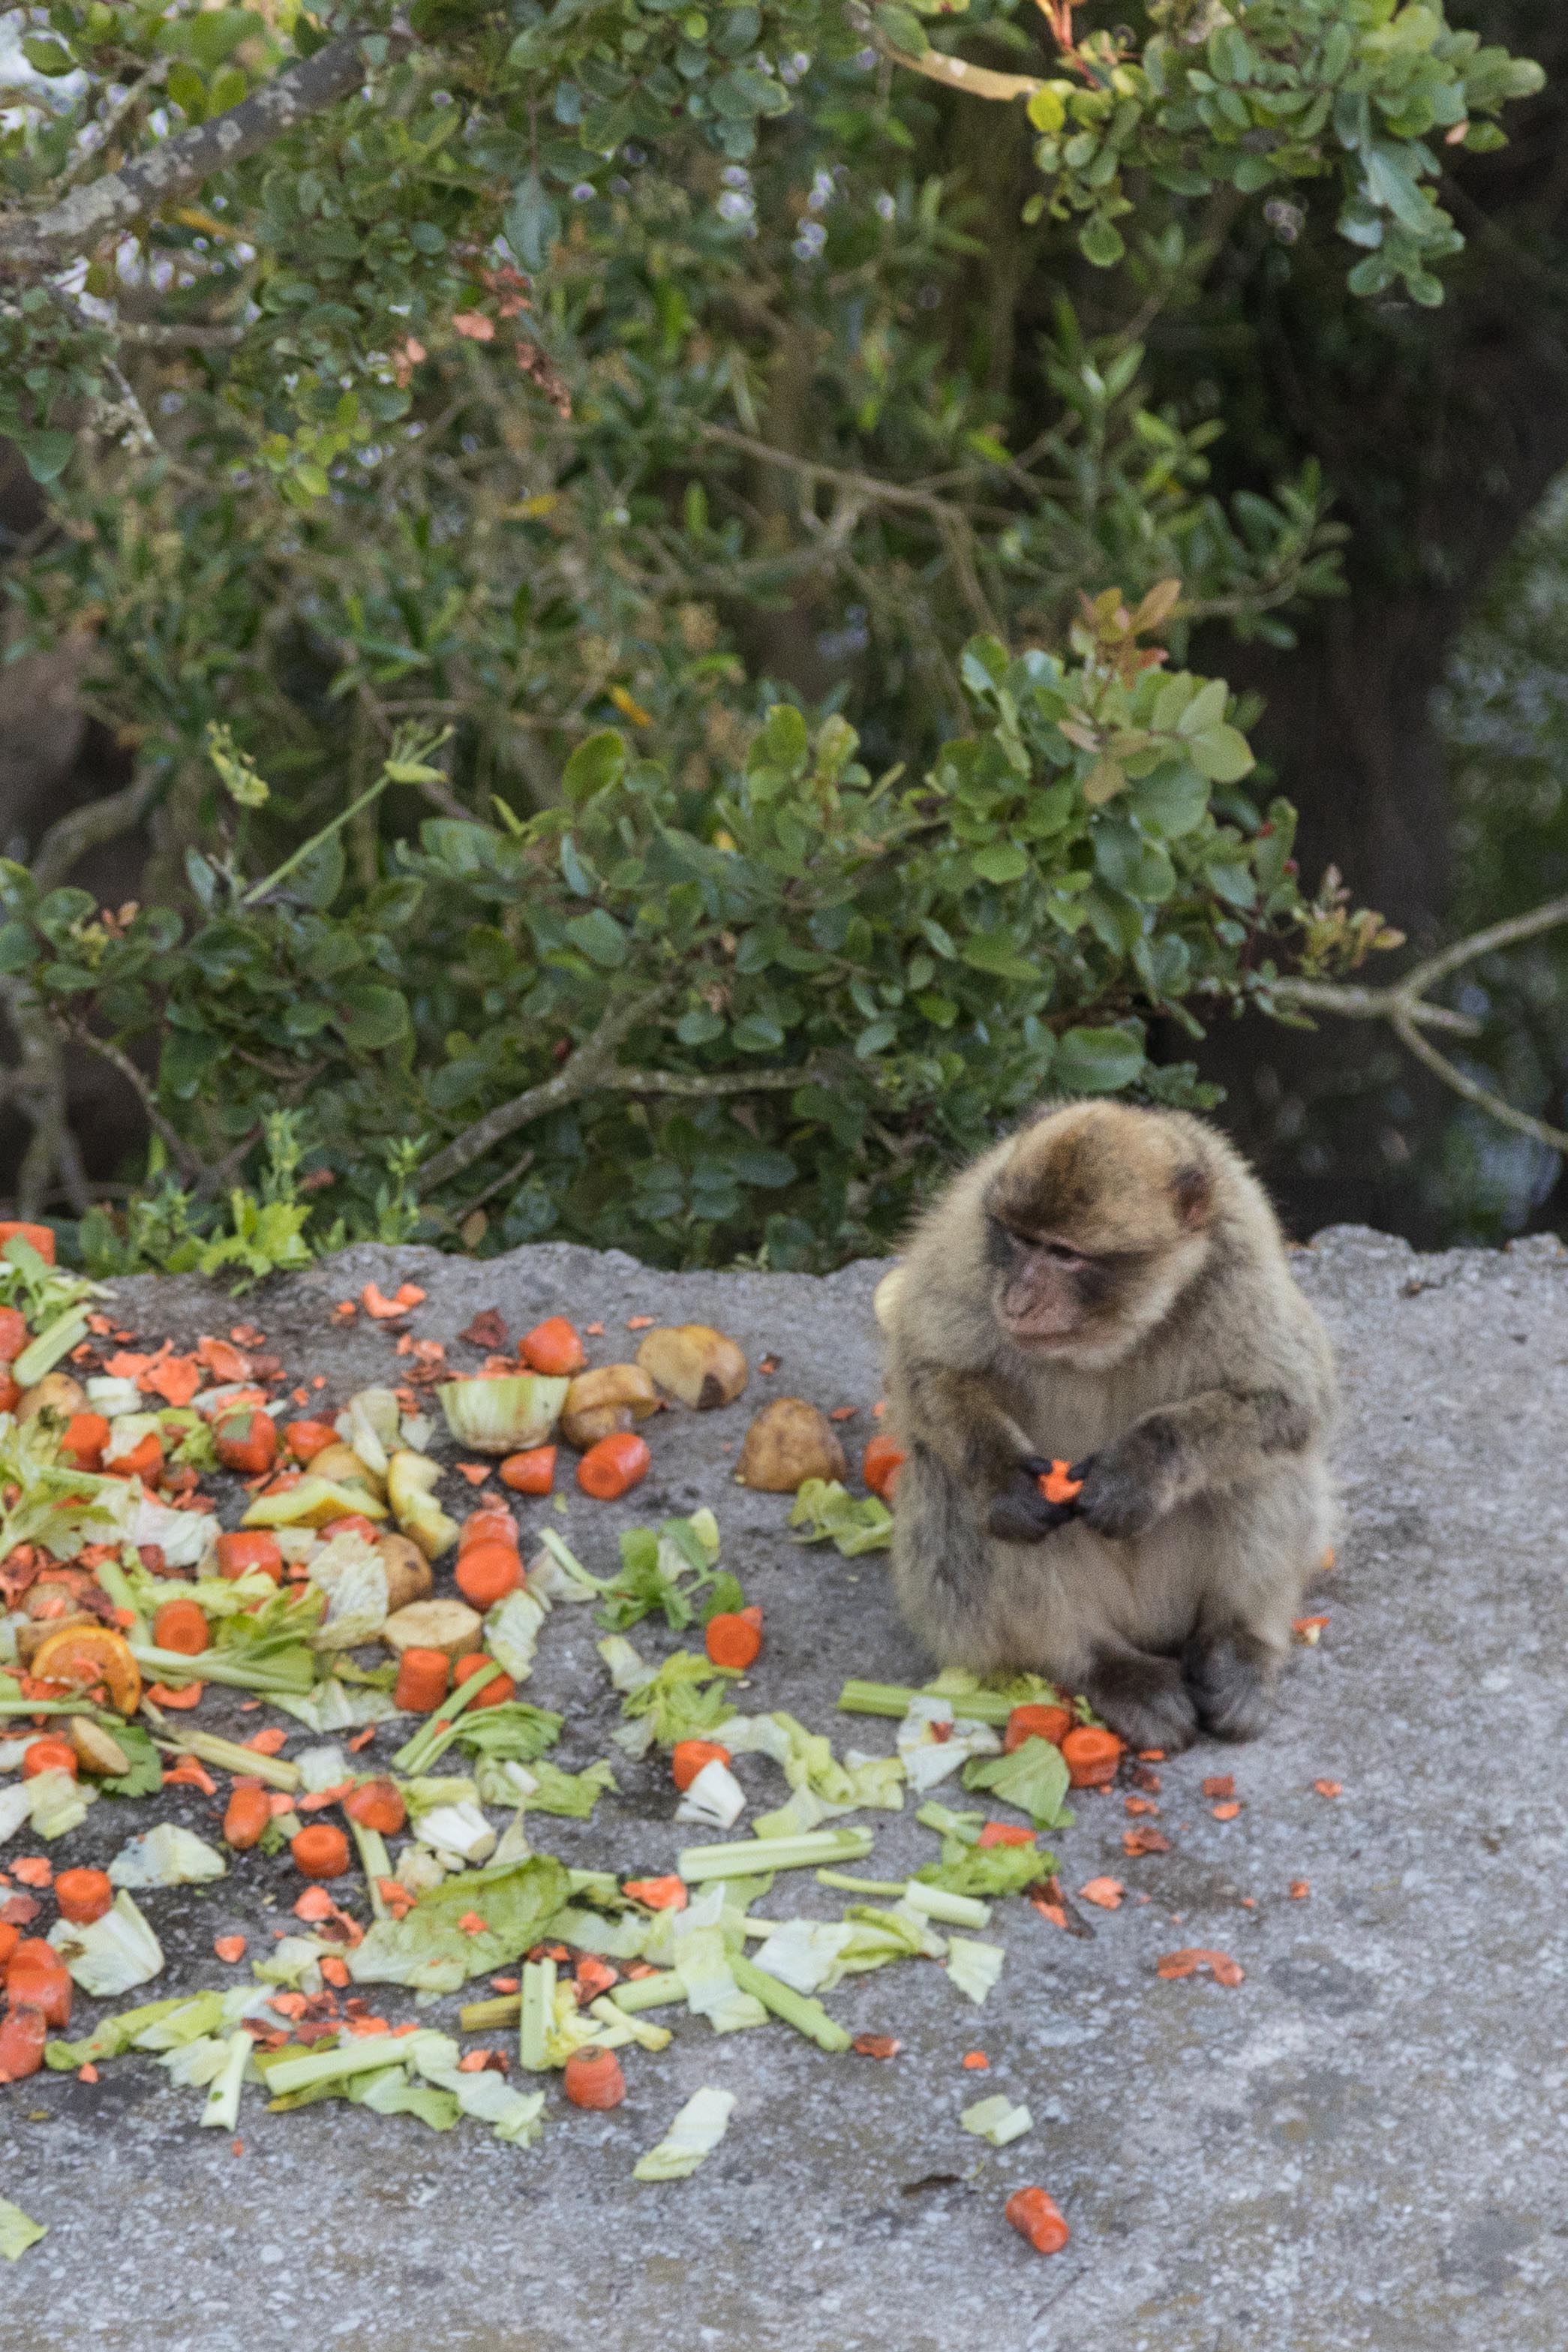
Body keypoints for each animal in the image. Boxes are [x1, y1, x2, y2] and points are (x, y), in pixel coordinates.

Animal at [884, 1101, 1335, 1750]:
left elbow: (1290, 1402)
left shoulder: (1240, 1262)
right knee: (948, 1482)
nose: (1016, 1299)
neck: (1111, 1333)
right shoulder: (967, 1241)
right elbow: (926, 1369)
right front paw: (1004, 1476)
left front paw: (1137, 1470)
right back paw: (1101, 1664)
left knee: (1264, 1466)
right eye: (1020, 1240)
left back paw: (1238, 1644)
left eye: (1064, 1253)